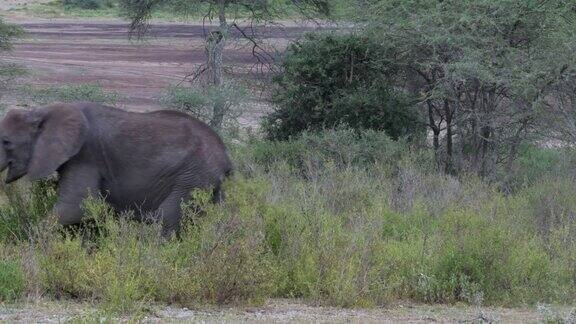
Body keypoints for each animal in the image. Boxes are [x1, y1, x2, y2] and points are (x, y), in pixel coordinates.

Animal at [0, 102, 232, 237]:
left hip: (193, 177)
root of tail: (225, 156)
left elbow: (76, 207)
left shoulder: (85, 156)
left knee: (166, 218)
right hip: (207, 181)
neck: (40, 111)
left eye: (6, 142)